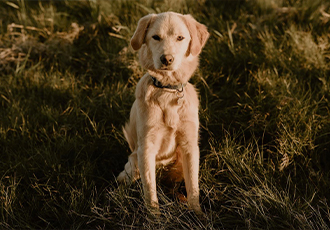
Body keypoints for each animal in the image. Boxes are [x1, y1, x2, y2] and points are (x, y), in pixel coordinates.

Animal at [116, 11, 209, 215]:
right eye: (155, 37)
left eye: (180, 38)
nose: (167, 59)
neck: (167, 90)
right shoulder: (146, 147)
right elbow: (150, 192)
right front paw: (154, 217)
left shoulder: (190, 146)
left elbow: (193, 187)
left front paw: (197, 213)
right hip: (134, 162)